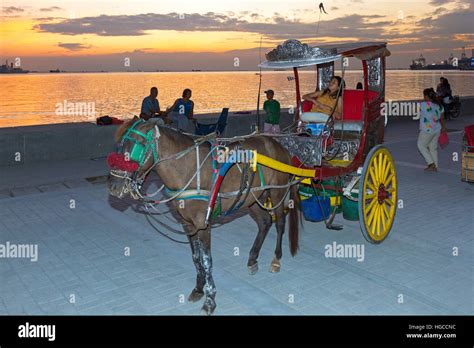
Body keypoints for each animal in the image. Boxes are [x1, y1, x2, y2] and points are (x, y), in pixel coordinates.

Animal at [107, 117, 300, 316]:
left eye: (137, 146)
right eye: (120, 146)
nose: (114, 187)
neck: (188, 169)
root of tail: (279, 145)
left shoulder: (202, 225)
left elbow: (207, 261)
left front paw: (210, 300)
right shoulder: (188, 224)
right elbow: (196, 257)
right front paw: (199, 289)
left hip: (277, 192)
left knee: (279, 223)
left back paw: (276, 259)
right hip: (251, 198)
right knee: (264, 222)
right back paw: (252, 259)